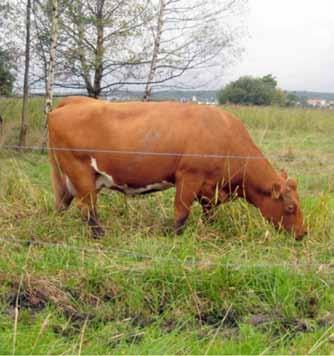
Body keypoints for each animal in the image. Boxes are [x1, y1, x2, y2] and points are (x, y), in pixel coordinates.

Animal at [48, 96, 306, 239]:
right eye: (291, 207)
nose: (303, 234)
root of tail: (71, 102)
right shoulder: (189, 177)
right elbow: (181, 212)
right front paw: (174, 236)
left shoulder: (209, 188)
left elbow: (209, 212)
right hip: (80, 172)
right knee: (88, 208)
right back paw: (100, 235)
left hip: (72, 178)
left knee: (64, 203)